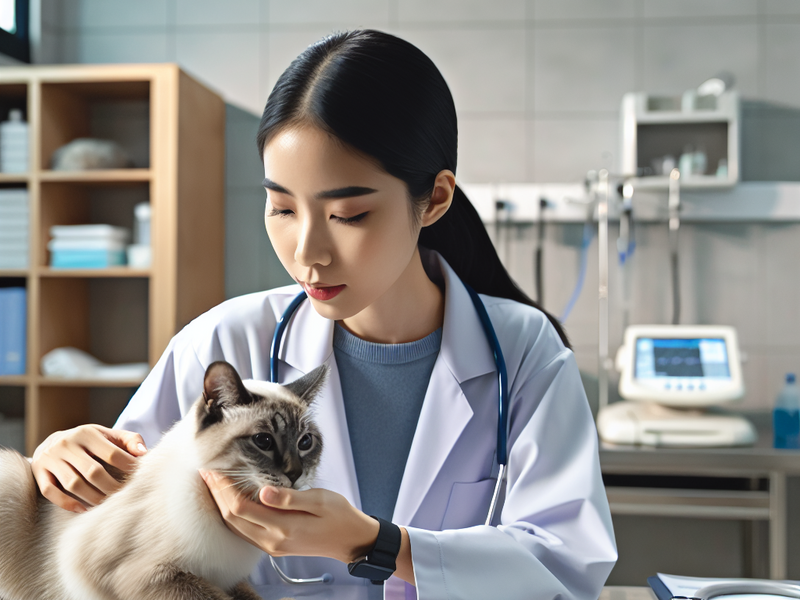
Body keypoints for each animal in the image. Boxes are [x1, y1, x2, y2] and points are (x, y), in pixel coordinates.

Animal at [0, 360, 326, 600]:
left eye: (305, 442)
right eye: (263, 441)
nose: (295, 474)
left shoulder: (230, 579)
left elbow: (249, 596)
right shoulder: (148, 574)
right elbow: (215, 597)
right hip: (12, 475)